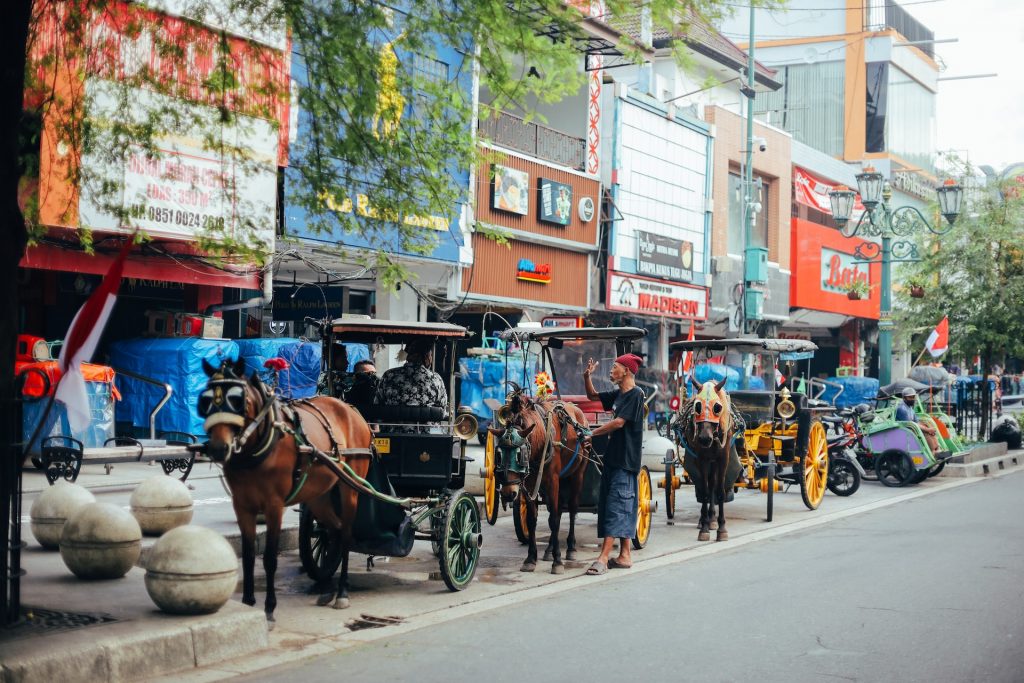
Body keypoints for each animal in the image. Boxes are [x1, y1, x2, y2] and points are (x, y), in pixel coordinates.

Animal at [198, 358, 372, 626]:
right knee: (333, 530)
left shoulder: (273, 506)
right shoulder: (242, 505)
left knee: (345, 535)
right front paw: (249, 603)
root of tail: (352, 411)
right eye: (206, 400)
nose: (218, 448)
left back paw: (342, 591)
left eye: (238, 400)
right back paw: (325, 586)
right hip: (318, 494)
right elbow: (249, 555)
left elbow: (270, 558)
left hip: (350, 487)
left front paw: (269, 608)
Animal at [489, 385, 589, 573]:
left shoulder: (553, 481)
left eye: (520, 455)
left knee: (572, 508)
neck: (541, 437)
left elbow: (555, 520)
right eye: (498, 455)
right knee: (557, 509)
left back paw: (571, 548)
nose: (508, 494)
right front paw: (531, 558)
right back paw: (549, 550)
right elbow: (532, 520)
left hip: (577, 474)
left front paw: (557, 561)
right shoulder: (530, 484)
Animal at [679, 376, 737, 540]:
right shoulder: (702, 458)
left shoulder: (723, 459)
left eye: (717, 407)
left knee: (713, 484)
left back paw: (712, 519)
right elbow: (704, 491)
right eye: (697, 406)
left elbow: (720, 491)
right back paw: (705, 519)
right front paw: (704, 528)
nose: (705, 439)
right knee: (707, 485)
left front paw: (722, 529)